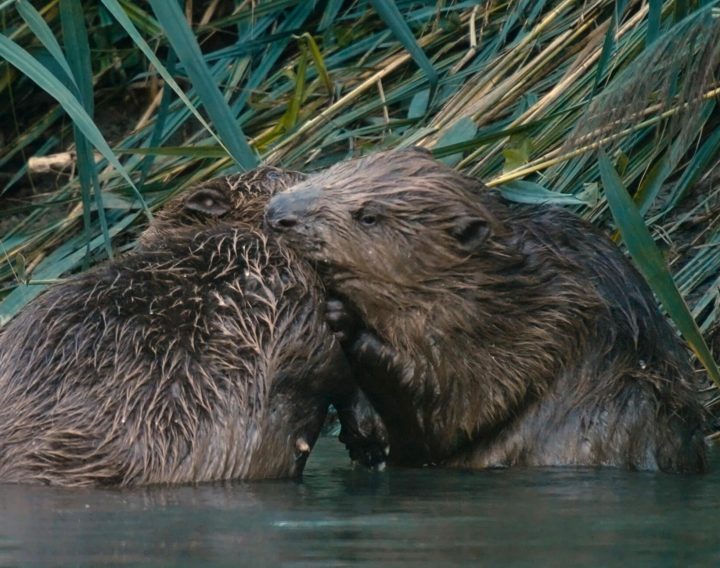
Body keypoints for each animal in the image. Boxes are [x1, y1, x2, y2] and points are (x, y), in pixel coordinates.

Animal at [266, 149, 708, 472]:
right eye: (331, 171)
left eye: (369, 216)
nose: (276, 213)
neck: (499, 284)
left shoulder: (526, 328)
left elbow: (449, 409)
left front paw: (341, 316)